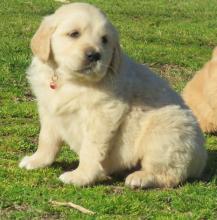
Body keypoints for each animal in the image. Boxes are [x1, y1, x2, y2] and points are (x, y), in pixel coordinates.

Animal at [19, 2, 207, 188]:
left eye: (104, 40)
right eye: (74, 34)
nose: (94, 55)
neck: (71, 80)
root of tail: (201, 160)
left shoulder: (103, 114)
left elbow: (91, 148)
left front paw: (81, 176)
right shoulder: (49, 109)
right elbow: (46, 139)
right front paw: (37, 160)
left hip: (164, 133)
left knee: (170, 175)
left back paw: (140, 177)